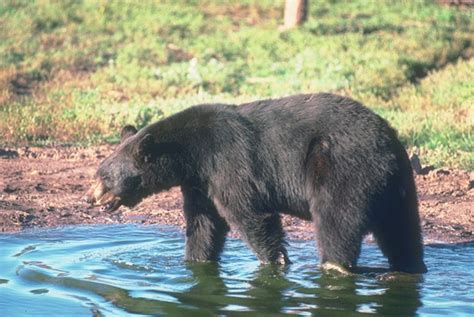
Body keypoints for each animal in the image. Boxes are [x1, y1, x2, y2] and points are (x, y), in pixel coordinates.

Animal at [86, 93, 430, 272]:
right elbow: (203, 223)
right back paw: (409, 267)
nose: (89, 198)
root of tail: (388, 144)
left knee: (337, 222)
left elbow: (250, 214)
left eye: (104, 176)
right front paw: (196, 261)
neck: (190, 153)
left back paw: (333, 266)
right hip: (395, 186)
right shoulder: (200, 181)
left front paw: (274, 261)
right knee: (402, 231)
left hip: (340, 168)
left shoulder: (228, 162)